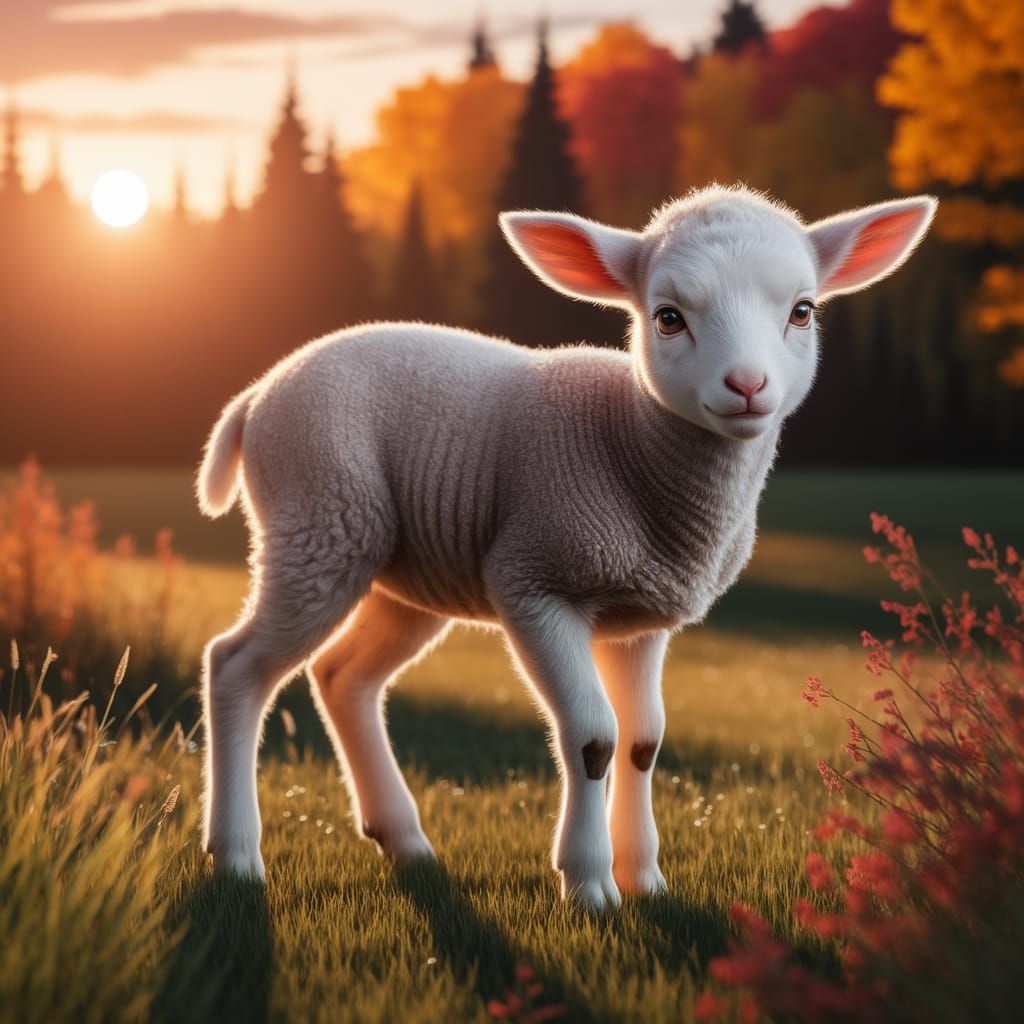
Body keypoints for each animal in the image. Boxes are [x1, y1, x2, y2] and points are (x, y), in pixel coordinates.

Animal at [197, 184, 936, 911]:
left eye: (803, 311)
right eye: (668, 317)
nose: (747, 385)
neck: (632, 443)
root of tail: (257, 394)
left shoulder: (642, 618)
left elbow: (642, 740)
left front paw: (645, 878)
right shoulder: (535, 581)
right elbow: (592, 737)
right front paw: (588, 883)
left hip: (405, 570)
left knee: (343, 675)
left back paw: (403, 839)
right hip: (318, 521)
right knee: (235, 666)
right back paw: (235, 855)